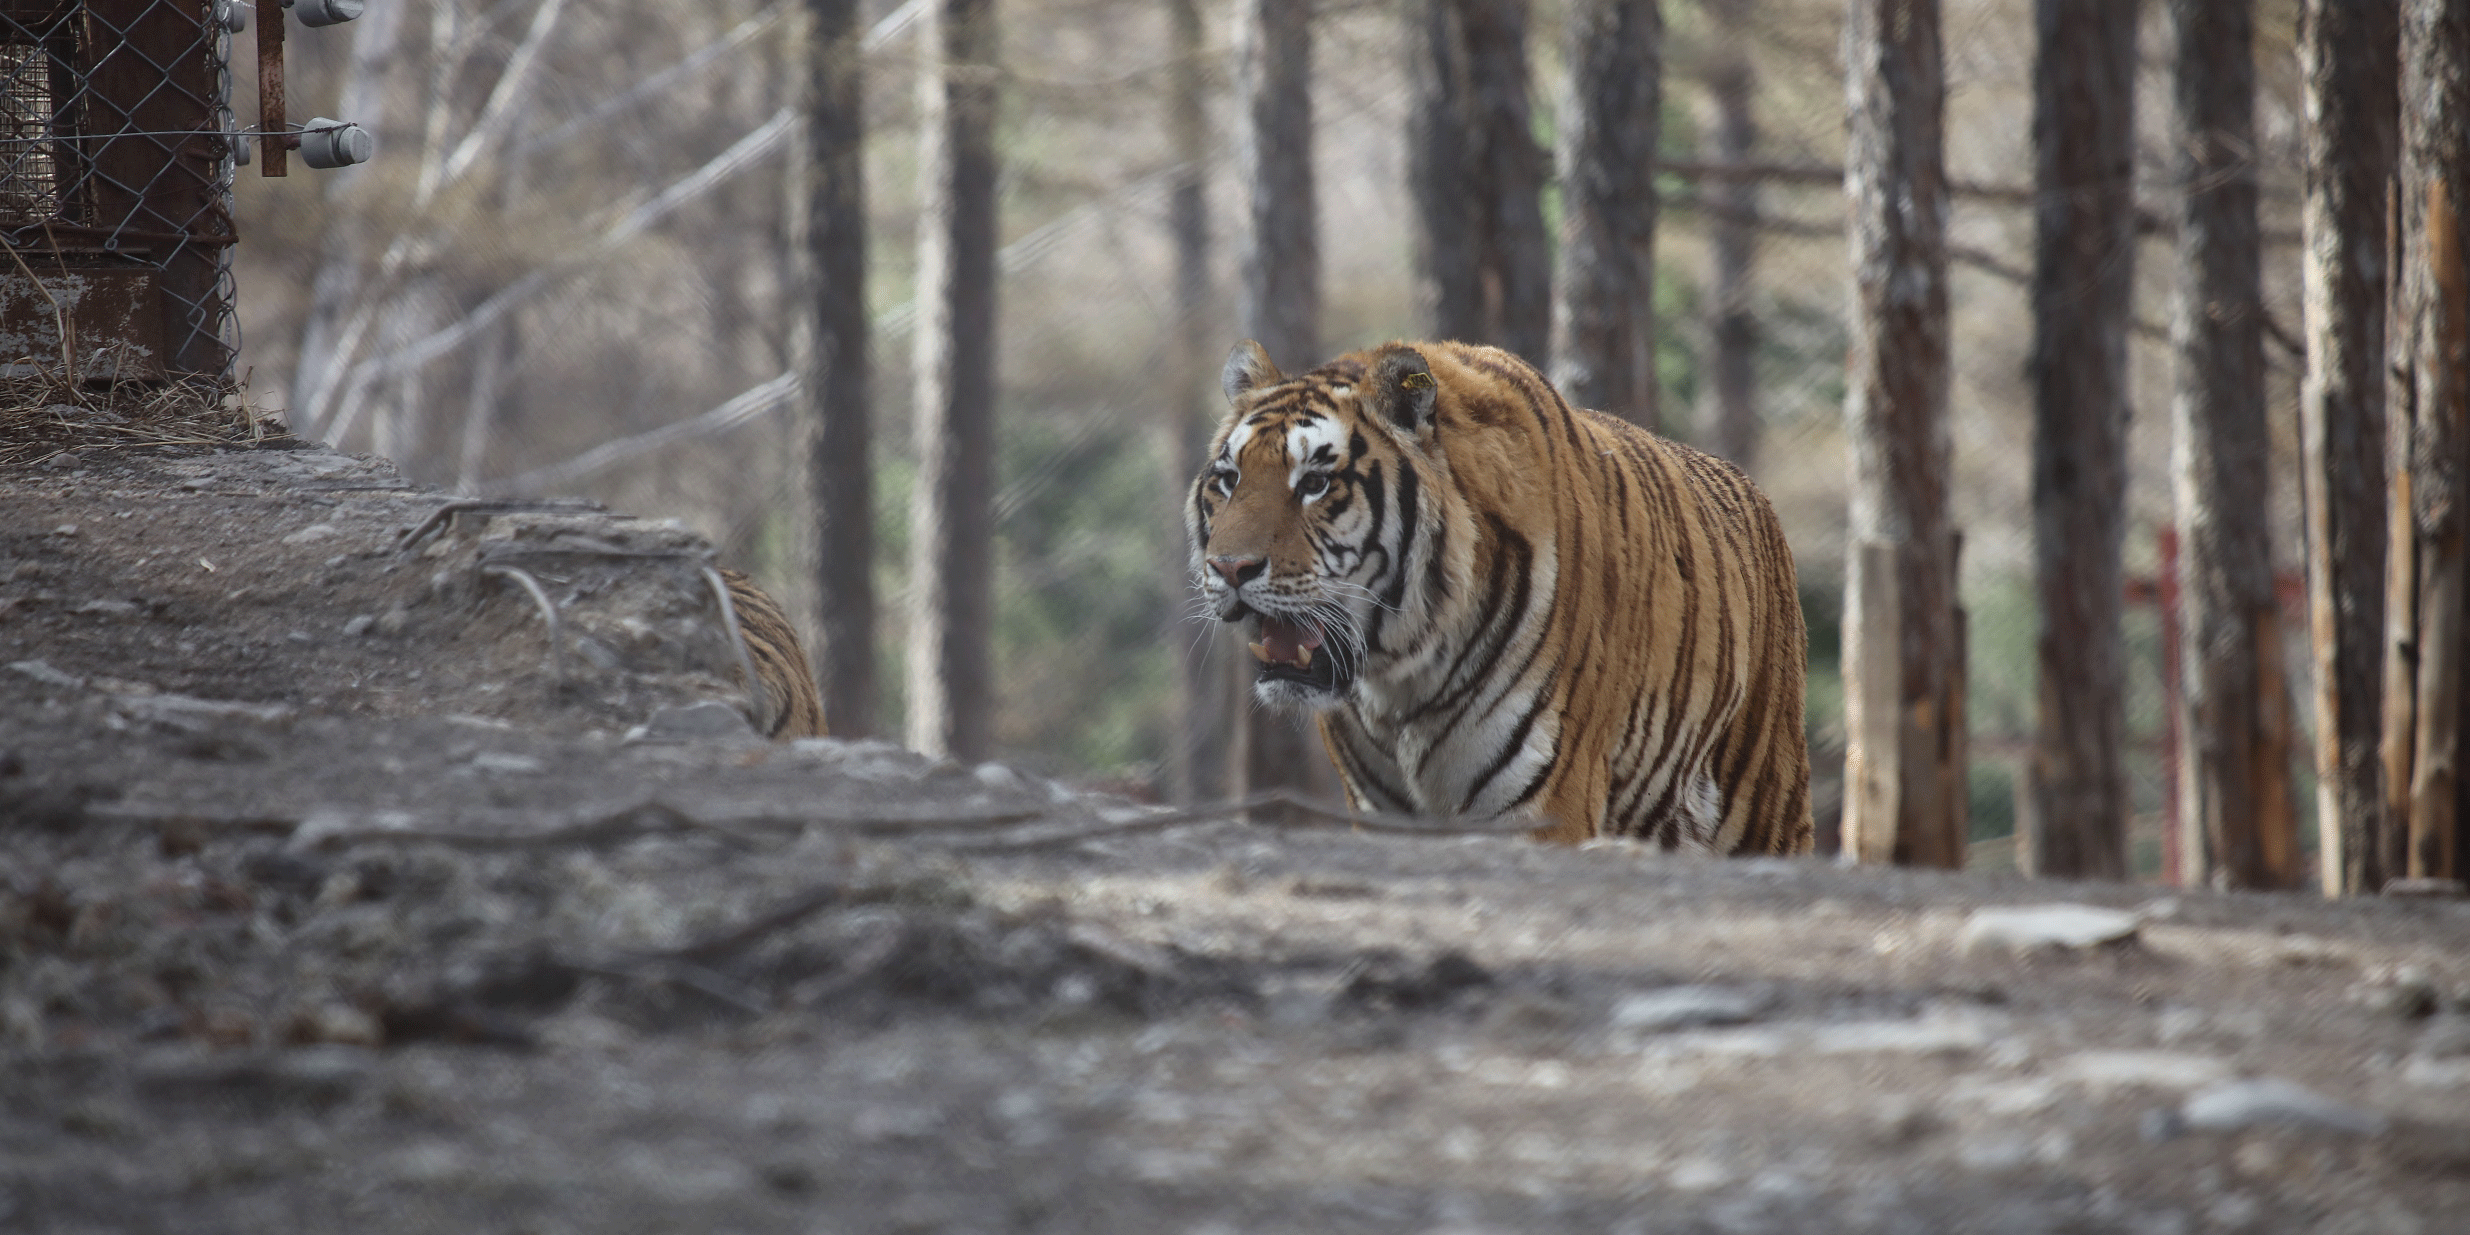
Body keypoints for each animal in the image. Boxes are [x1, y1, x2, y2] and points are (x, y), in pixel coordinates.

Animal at [1190, 343, 1817, 854]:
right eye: (1229, 479)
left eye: (1316, 483)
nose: (1229, 568)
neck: (1400, 680)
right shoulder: (1381, 814)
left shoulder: (1545, 806)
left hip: (1767, 804)